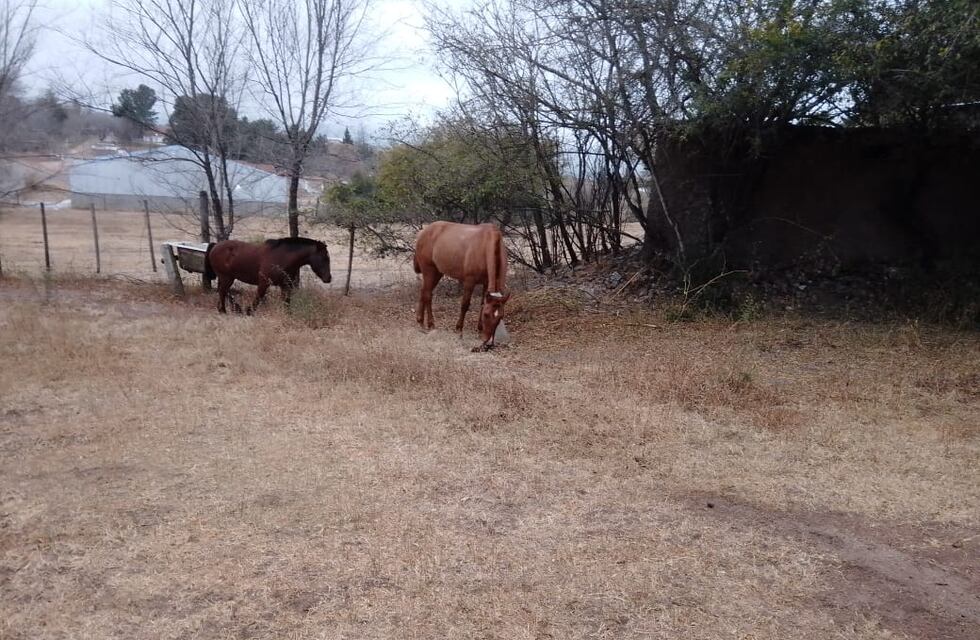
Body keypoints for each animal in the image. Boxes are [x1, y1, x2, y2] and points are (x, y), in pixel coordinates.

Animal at [413, 221, 510, 351]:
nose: (488, 342)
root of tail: (424, 232)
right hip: (429, 270)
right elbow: (465, 305)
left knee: (424, 292)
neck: (486, 245)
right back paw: (430, 324)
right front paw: (459, 330)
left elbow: (482, 304)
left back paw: (421, 321)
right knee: (427, 295)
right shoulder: (469, 282)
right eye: (486, 315)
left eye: (500, 317)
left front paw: (479, 329)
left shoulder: (486, 283)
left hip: (437, 272)